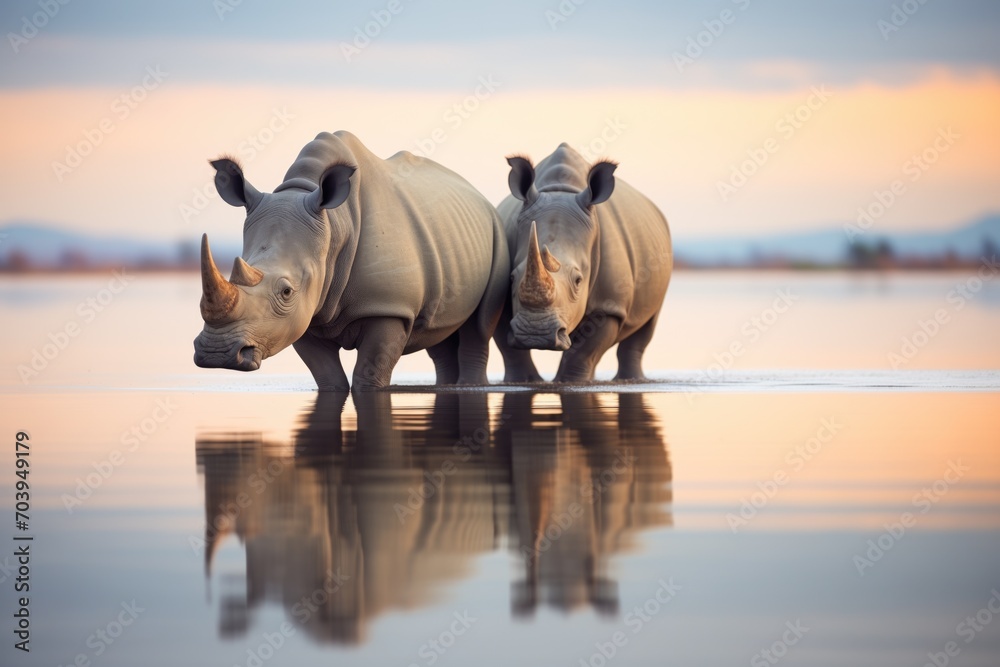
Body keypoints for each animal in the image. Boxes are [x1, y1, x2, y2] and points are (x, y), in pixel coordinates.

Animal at [193, 131, 509, 391]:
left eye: (286, 291)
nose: (216, 353)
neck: (333, 224)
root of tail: (478, 196)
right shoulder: (305, 315)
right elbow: (328, 378)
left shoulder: (388, 306)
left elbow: (368, 377)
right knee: (437, 333)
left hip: (497, 231)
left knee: (479, 327)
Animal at [494, 143, 672, 382]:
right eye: (512, 276)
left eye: (579, 280)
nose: (536, 334)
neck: (560, 190)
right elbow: (509, 348)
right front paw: (524, 382)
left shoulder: (609, 305)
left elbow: (584, 350)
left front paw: (570, 382)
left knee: (646, 324)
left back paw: (630, 380)